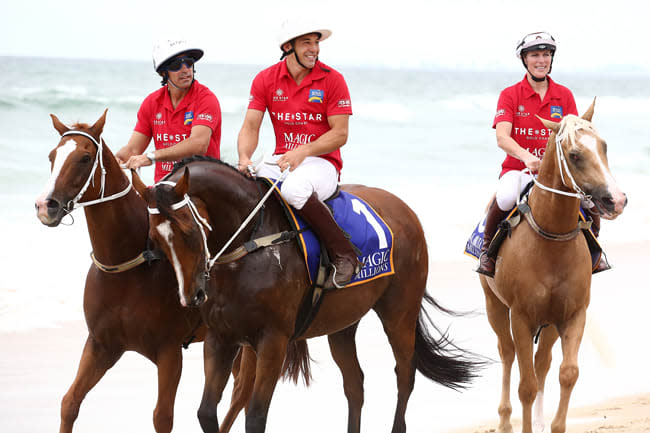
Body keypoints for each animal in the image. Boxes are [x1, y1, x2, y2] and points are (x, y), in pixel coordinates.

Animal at [33, 110, 256, 432]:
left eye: (85, 158)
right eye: (52, 156)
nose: (45, 206)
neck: (128, 268)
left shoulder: (169, 353)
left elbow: (162, 416)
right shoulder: (101, 345)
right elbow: (69, 402)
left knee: (242, 394)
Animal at [130, 156, 480, 432]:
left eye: (189, 231)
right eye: (155, 239)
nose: (192, 295)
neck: (251, 242)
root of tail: (404, 209)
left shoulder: (273, 340)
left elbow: (255, 416)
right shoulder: (221, 337)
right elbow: (205, 412)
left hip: (399, 313)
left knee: (405, 374)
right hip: (342, 325)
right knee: (355, 383)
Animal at [478, 98, 624, 432]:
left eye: (604, 146)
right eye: (575, 155)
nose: (617, 200)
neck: (551, 240)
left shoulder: (572, 315)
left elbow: (567, 373)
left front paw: (551, 424)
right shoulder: (520, 317)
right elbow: (526, 385)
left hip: (549, 323)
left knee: (542, 361)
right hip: (495, 305)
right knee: (507, 355)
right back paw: (504, 420)